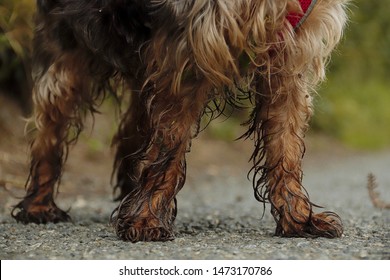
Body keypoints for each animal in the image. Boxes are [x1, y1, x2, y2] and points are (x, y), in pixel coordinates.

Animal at [11, 0, 348, 242]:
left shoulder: (289, 57)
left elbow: (285, 149)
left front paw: (299, 218)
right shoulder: (189, 50)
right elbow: (169, 148)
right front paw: (146, 217)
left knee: (132, 130)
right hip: (67, 58)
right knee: (49, 134)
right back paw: (39, 205)